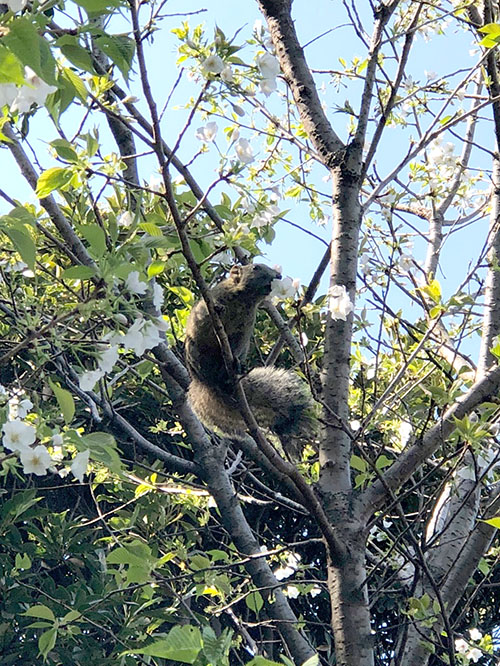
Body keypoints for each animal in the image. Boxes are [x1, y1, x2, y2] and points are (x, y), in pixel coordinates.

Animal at [186, 260, 314, 446]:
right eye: (255, 268)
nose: (278, 276)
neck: (244, 299)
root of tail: (206, 382)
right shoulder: (209, 303)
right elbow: (206, 319)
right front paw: (219, 309)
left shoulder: (245, 327)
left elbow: (238, 345)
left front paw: (236, 361)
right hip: (192, 351)